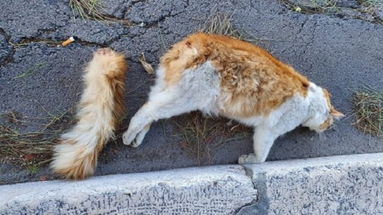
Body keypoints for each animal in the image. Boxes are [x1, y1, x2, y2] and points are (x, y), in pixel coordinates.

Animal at [124, 32, 344, 163]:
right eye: (328, 122)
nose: (326, 129)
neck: (311, 102)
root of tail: (192, 42)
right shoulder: (268, 130)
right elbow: (262, 155)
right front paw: (249, 160)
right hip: (184, 99)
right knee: (146, 111)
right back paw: (128, 135)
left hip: (165, 89)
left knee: (149, 108)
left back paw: (138, 136)